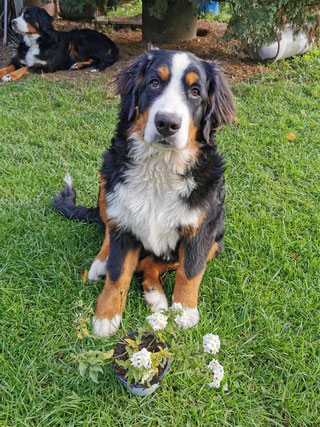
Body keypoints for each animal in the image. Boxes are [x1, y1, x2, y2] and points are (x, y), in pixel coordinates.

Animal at [51, 49, 234, 338]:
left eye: (195, 91)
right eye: (154, 83)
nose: (167, 123)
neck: (160, 168)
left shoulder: (203, 229)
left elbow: (189, 271)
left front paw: (185, 311)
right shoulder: (124, 221)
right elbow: (118, 272)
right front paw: (106, 315)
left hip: (217, 240)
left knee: (151, 264)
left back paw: (156, 296)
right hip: (107, 179)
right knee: (108, 230)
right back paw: (101, 263)